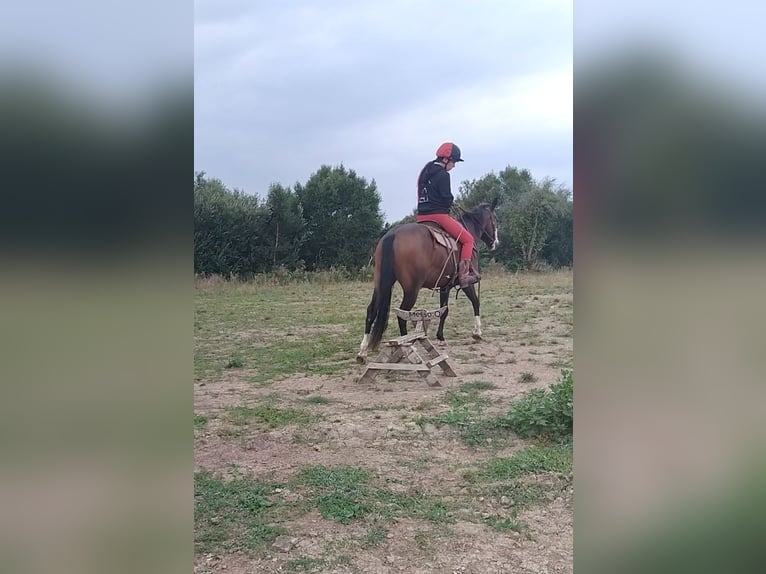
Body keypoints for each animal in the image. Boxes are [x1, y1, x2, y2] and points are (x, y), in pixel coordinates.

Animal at [357, 200, 499, 363]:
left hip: (381, 285)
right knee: (402, 314)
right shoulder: (465, 283)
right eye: (494, 219)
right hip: (411, 290)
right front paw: (477, 332)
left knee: (371, 311)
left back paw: (363, 351)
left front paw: (441, 337)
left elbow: (444, 310)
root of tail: (392, 235)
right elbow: (475, 301)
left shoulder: (445, 286)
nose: (495, 242)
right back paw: (407, 345)